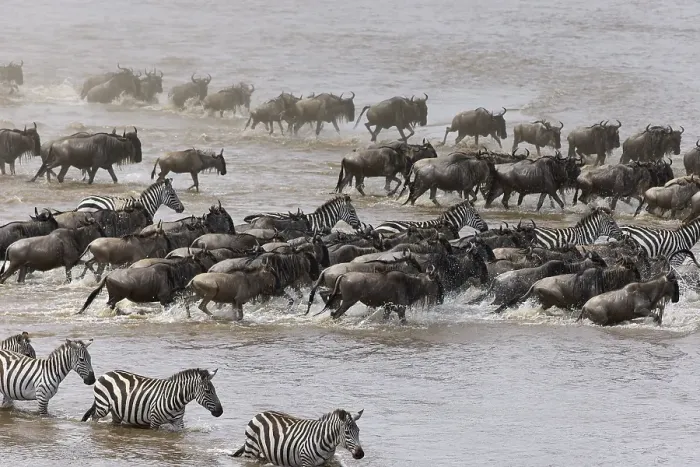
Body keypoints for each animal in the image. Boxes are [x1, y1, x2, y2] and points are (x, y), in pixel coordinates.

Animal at [81, 368, 222, 429]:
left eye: (215, 391)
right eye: (208, 391)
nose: (220, 412)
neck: (176, 398)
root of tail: (106, 373)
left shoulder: (178, 422)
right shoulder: (154, 421)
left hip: (116, 411)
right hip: (103, 407)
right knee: (94, 417)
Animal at [231, 408, 364, 466]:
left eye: (358, 431)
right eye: (347, 432)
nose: (360, 454)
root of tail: (259, 414)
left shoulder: (325, 463)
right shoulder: (306, 462)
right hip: (251, 451)